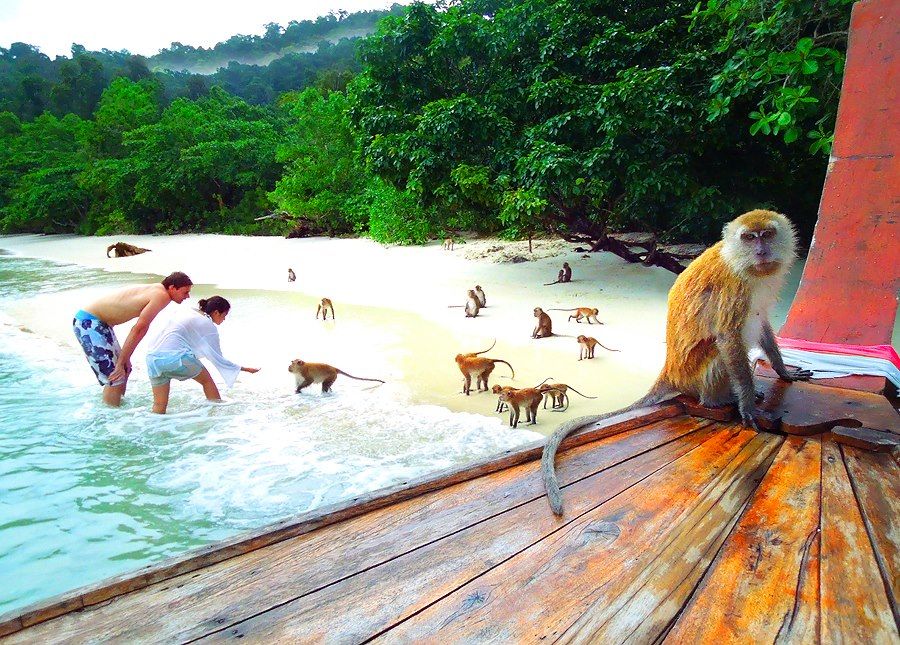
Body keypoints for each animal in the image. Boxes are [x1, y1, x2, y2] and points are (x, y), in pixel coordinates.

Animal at [541, 209, 813, 515]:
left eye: (767, 234)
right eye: (749, 237)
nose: (761, 251)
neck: (741, 263)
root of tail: (670, 371)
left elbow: (763, 323)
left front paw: (783, 371)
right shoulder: (734, 288)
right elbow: (728, 337)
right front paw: (747, 405)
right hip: (694, 374)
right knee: (719, 349)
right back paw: (718, 400)